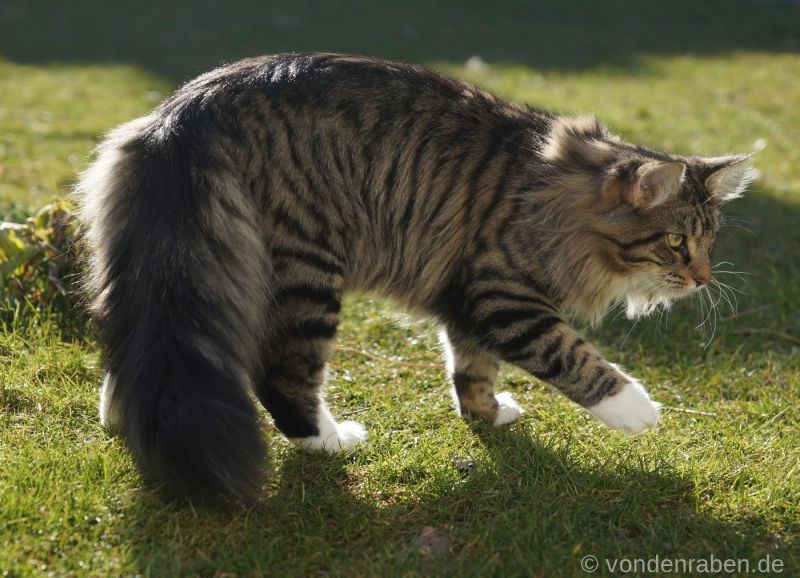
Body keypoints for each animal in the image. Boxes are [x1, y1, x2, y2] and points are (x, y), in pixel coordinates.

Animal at [76, 51, 756, 498]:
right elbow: (573, 357)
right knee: (282, 377)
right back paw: (331, 439)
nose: (702, 279)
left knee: (147, 348)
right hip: (307, 274)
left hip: (168, 266)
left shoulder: (469, 300)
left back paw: (123, 417)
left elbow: (472, 373)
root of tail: (182, 114)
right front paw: (638, 410)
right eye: (676, 243)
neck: (544, 189)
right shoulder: (504, 298)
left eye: (709, 242)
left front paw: (488, 417)